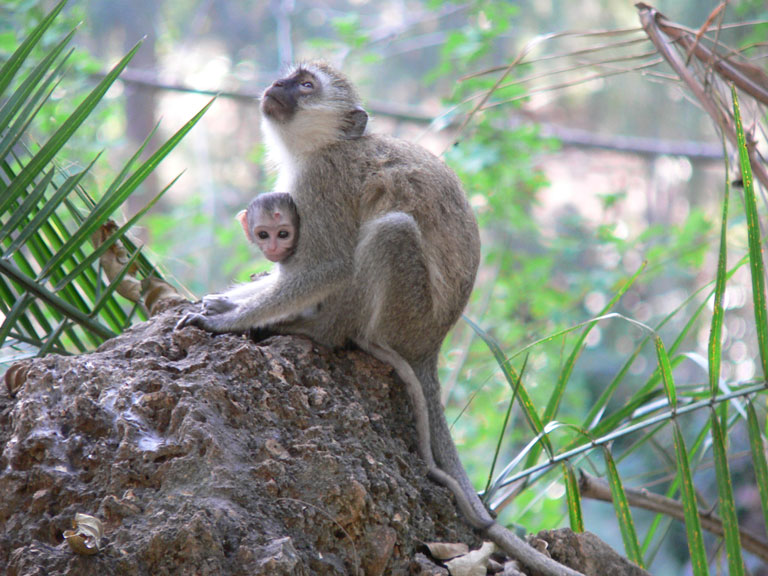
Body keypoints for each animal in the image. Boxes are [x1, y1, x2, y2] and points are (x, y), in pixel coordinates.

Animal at [178, 62, 584, 576]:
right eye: (289, 76)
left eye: (306, 85)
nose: (274, 86)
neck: (326, 146)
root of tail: (431, 345)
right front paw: (220, 302)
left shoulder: (322, 185)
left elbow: (327, 266)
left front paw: (228, 321)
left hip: (406, 314)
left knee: (389, 233)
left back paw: (317, 329)